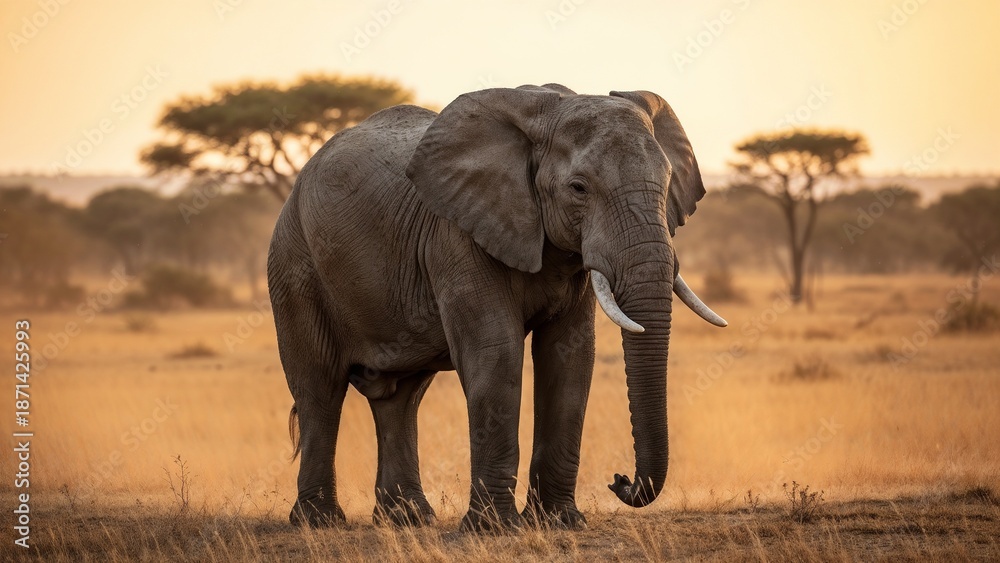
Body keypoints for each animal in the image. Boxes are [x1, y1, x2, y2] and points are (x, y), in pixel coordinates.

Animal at [267, 83, 726, 531]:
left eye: (667, 184)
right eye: (579, 188)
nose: (619, 480)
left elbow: (570, 357)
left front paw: (560, 522)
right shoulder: (457, 234)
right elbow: (496, 351)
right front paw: (494, 528)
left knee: (401, 397)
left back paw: (407, 519)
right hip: (295, 263)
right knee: (319, 388)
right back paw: (318, 522)